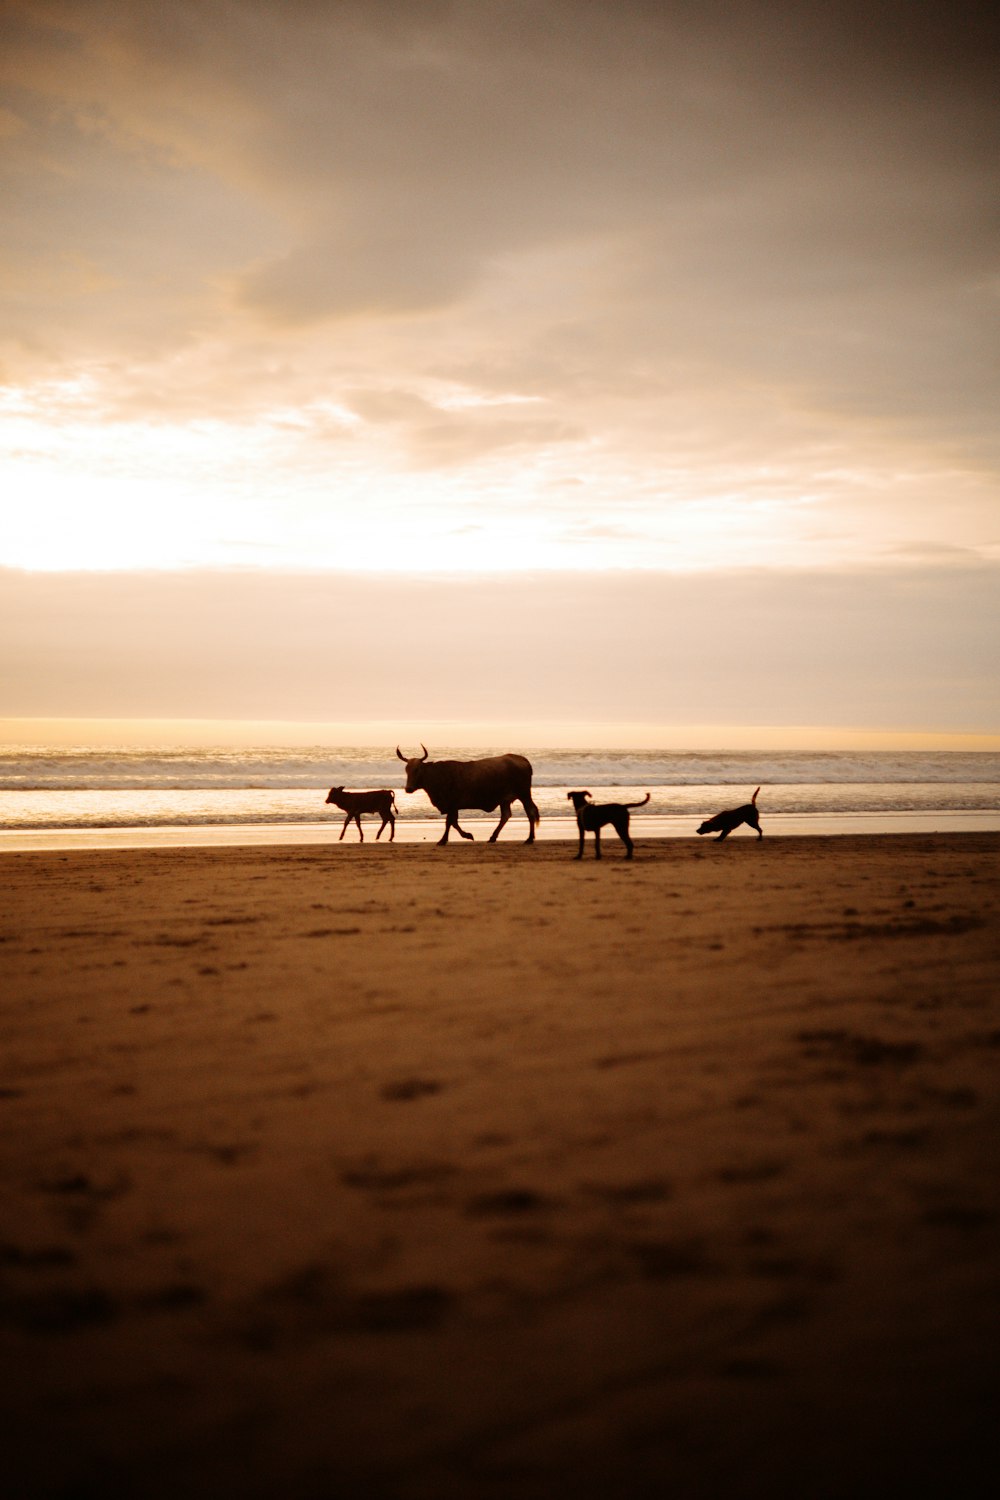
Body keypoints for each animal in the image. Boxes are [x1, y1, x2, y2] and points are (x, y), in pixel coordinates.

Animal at [395, 747, 542, 852]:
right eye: (406, 769)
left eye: (417, 769)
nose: (408, 788)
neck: (438, 775)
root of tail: (521, 759)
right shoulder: (453, 807)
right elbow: (454, 823)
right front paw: (465, 835)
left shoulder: (452, 805)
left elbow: (449, 823)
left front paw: (444, 840)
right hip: (505, 800)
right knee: (506, 815)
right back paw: (493, 837)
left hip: (524, 795)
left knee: (530, 813)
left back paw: (529, 839)